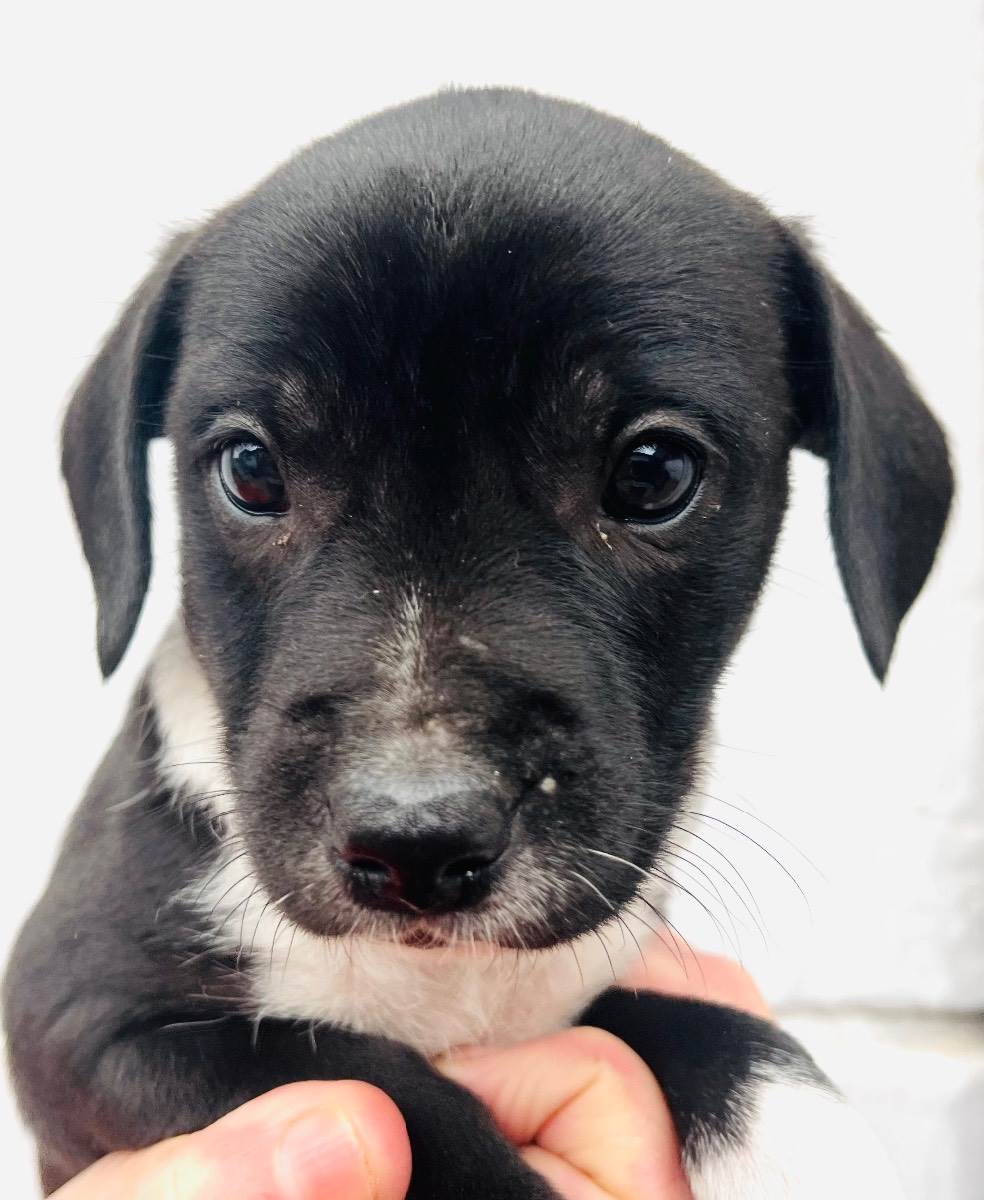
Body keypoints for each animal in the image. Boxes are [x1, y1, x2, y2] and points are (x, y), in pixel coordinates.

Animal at [4, 88, 952, 1197]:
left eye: (654, 474)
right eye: (250, 469)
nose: (415, 839)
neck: (446, 980)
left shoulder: (587, 979)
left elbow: (709, 1025)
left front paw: (813, 1140)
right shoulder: (85, 1014)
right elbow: (379, 1086)